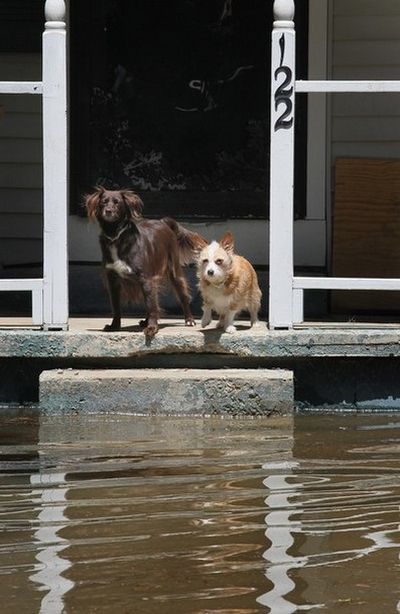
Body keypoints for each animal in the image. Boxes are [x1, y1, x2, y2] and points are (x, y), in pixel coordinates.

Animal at [86, 188, 208, 342]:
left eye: (117, 202)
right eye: (103, 202)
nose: (108, 211)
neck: (116, 236)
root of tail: (163, 221)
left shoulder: (146, 278)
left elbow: (151, 305)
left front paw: (152, 328)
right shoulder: (113, 280)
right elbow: (116, 306)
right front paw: (115, 326)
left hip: (174, 272)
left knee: (182, 296)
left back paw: (189, 320)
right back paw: (146, 320)